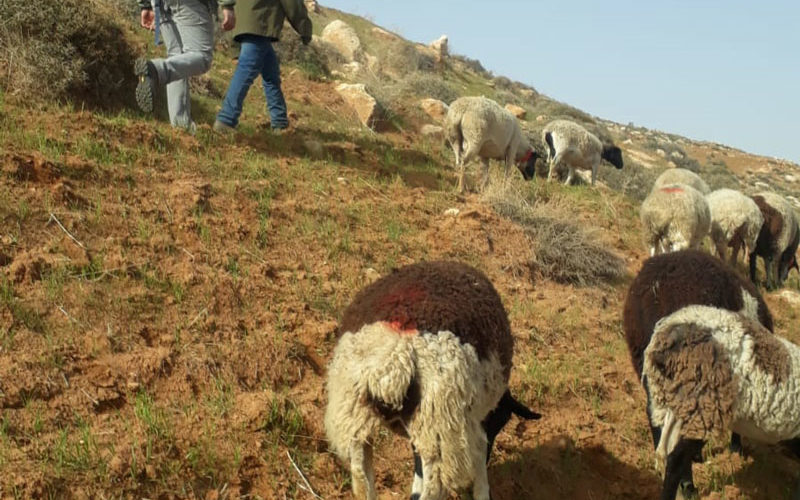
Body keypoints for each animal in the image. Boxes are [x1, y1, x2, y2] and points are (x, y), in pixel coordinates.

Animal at [324, 262, 536, 500]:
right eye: (500, 422)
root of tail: (395, 354)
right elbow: (480, 452)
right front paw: (482, 490)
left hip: (354, 415)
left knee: (362, 478)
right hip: (438, 421)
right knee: (433, 487)